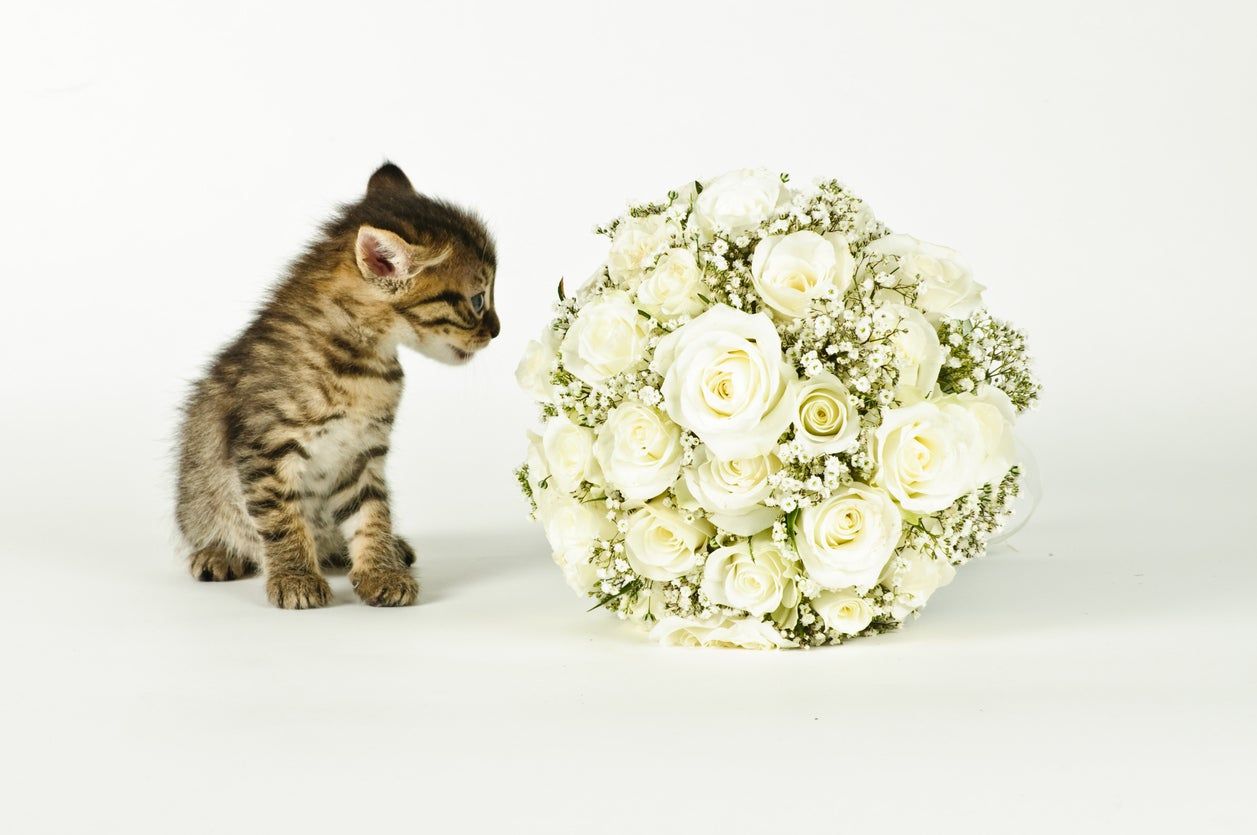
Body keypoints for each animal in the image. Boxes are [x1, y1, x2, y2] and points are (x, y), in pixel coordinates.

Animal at [178, 160, 500, 606]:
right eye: (478, 300)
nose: (498, 331)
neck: (361, 362)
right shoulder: (265, 446)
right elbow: (282, 518)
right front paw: (295, 577)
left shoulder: (361, 452)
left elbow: (372, 512)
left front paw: (381, 570)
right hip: (196, 487)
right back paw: (217, 552)